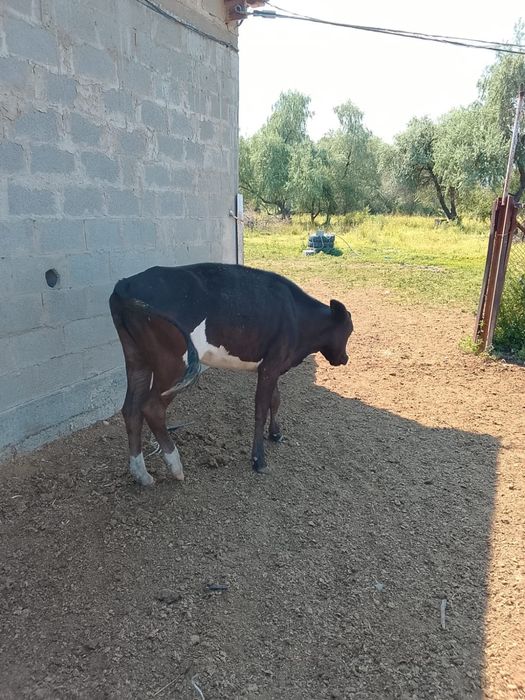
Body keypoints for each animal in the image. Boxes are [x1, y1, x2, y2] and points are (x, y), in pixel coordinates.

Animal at [109, 263, 353, 486]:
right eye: (349, 330)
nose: (345, 359)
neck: (298, 318)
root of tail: (125, 284)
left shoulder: (272, 365)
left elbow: (275, 400)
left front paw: (276, 434)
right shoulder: (271, 365)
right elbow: (261, 409)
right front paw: (259, 460)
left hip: (136, 358)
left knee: (131, 408)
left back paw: (141, 474)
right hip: (174, 363)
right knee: (152, 408)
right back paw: (175, 466)